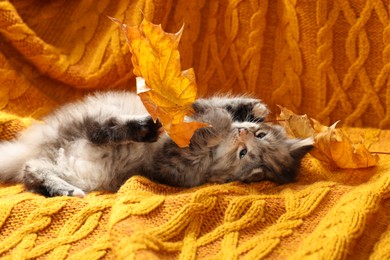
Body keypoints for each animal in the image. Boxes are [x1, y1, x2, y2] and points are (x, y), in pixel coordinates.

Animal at [0, 91, 314, 197]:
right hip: (89, 120)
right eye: (260, 136)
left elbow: (207, 126)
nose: (244, 134)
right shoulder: (188, 110)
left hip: (75, 161)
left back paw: (65, 190)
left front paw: (221, 121)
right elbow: (211, 104)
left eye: (243, 153)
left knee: (33, 170)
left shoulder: (170, 161)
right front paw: (253, 109)